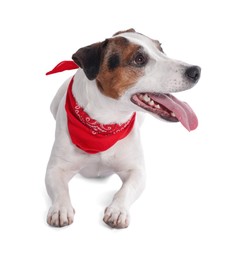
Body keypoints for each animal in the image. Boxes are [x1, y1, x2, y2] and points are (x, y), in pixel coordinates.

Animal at [45, 27, 200, 228]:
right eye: (139, 59)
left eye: (161, 49)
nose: (196, 71)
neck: (104, 125)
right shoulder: (55, 169)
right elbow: (60, 188)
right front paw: (60, 209)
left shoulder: (136, 171)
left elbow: (125, 190)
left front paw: (117, 210)